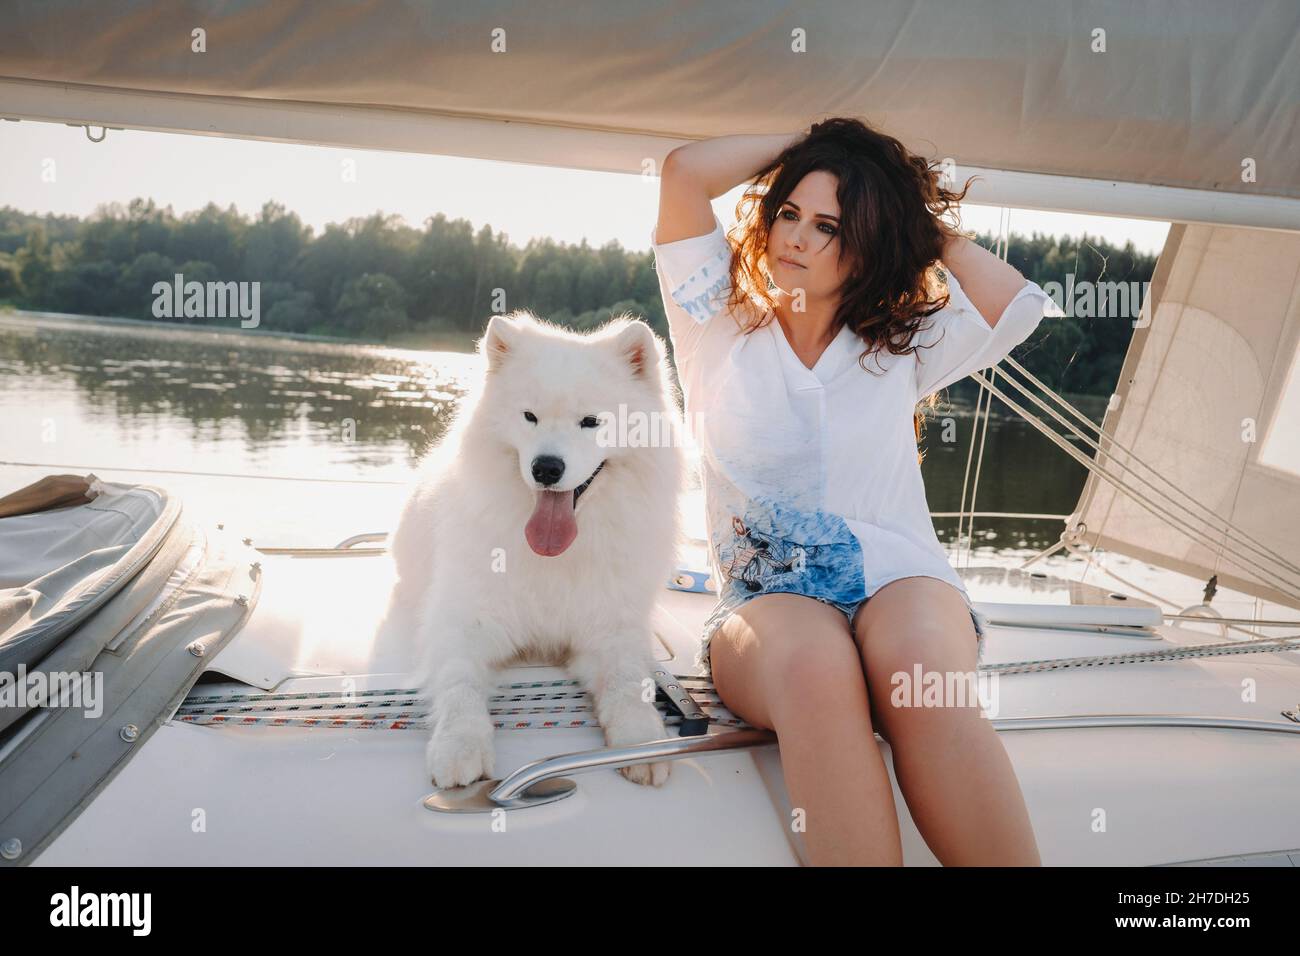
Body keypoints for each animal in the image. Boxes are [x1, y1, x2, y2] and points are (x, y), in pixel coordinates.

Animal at [377, 310, 686, 790]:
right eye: (529, 416)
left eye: (590, 421)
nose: (546, 467)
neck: (555, 559)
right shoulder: (464, 623)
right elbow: (459, 685)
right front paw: (460, 745)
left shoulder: (612, 628)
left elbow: (628, 681)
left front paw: (642, 739)